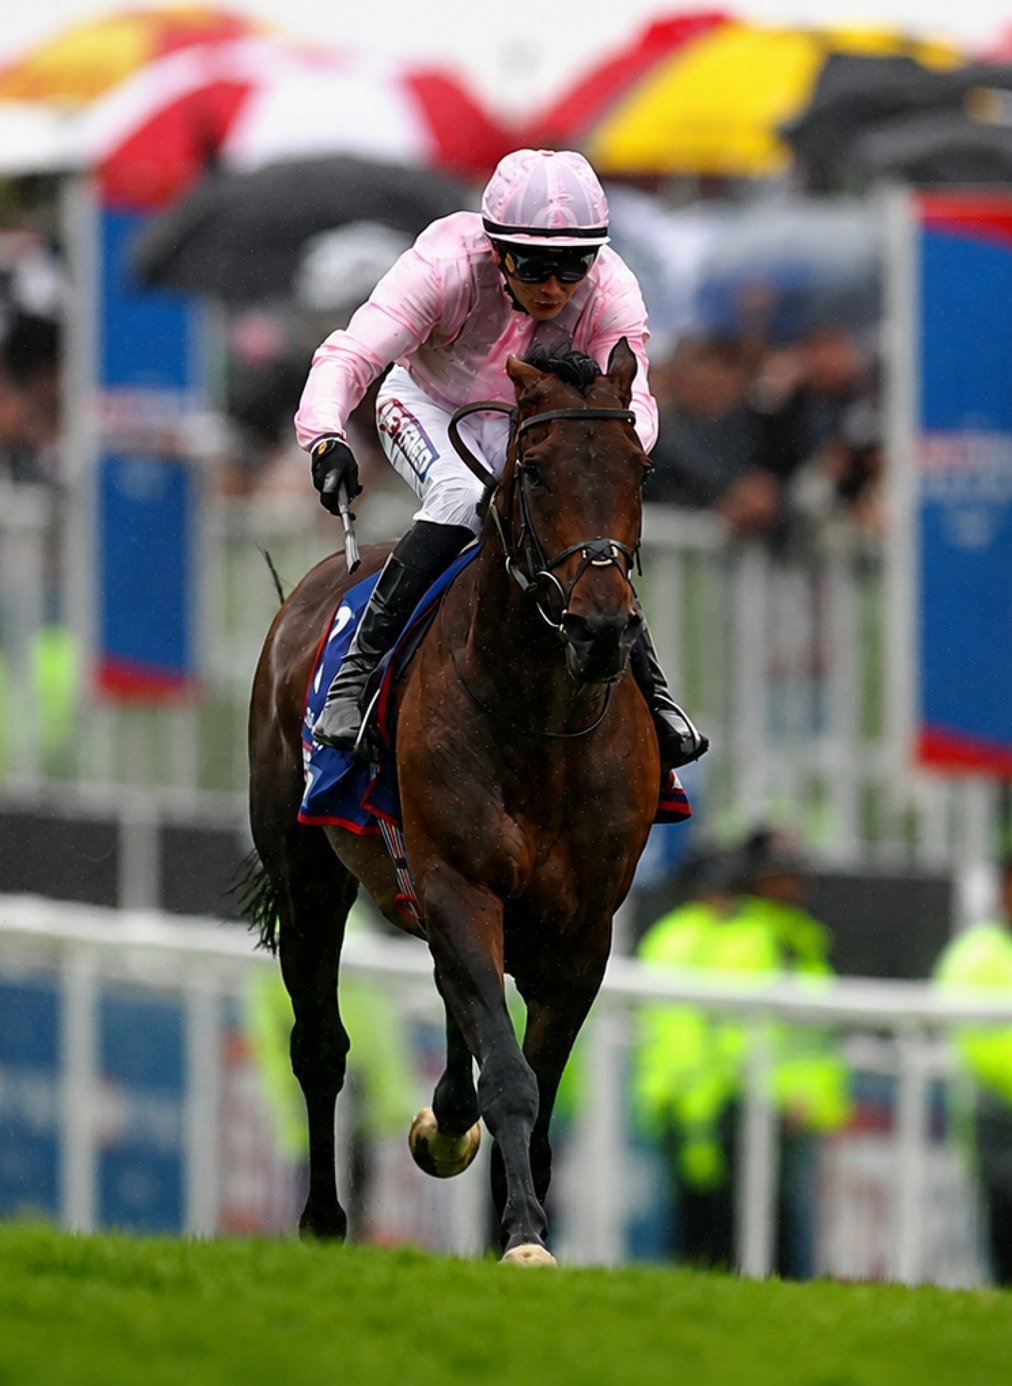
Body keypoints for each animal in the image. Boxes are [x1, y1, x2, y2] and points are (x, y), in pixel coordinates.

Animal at [246, 338, 660, 1265]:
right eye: (534, 470)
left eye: (640, 467)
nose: (602, 630)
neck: (542, 721)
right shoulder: (459, 884)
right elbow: (511, 1075)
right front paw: (527, 1236)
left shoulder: (584, 929)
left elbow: (535, 1090)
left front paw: (518, 1216)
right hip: (309, 874)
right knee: (320, 1045)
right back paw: (323, 1218)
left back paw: (445, 1120)